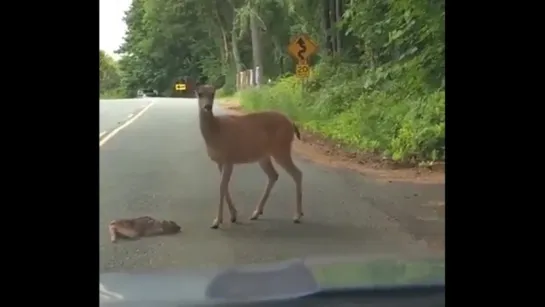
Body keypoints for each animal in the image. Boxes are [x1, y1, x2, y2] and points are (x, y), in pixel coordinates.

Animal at [196, 83, 302, 229]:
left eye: (213, 93)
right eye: (200, 93)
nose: (207, 106)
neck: (216, 132)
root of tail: (291, 123)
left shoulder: (228, 159)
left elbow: (222, 187)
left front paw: (217, 221)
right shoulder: (220, 162)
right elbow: (224, 186)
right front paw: (233, 215)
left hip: (281, 148)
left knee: (297, 173)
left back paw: (297, 215)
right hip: (264, 156)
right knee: (274, 175)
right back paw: (256, 212)